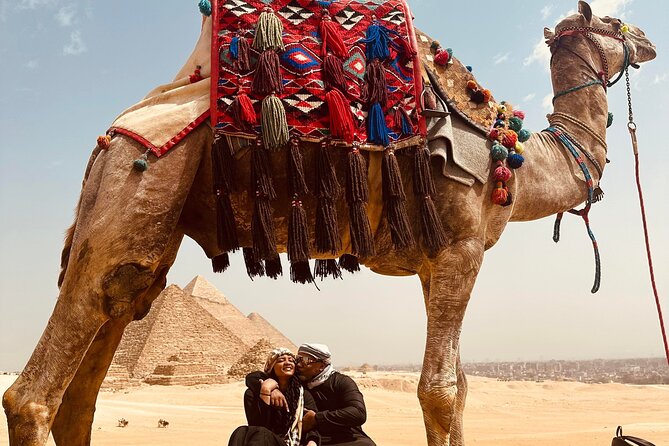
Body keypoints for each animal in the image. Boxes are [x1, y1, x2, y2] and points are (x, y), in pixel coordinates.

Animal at [2, 1, 656, 445]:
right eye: (613, 23)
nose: (649, 39)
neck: (518, 159)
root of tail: (109, 138)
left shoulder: (435, 261)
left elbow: (461, 384)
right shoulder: (461, 249)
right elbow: (439, 389)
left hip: (148, 236)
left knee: (93, 366)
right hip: (140, 182)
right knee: (34, 392)